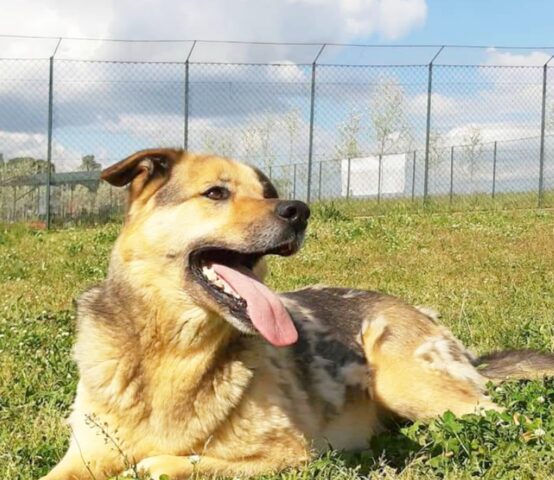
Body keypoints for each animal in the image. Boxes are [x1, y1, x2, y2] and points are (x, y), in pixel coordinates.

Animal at [42, 148, 552, 478]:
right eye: (216, 193)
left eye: (267, 191)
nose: (298, 210)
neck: (168, 350)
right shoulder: (80, 459)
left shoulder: (290, 452)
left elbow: (168, 465)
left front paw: (154, 463)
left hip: (409, 383)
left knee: (510, 418)